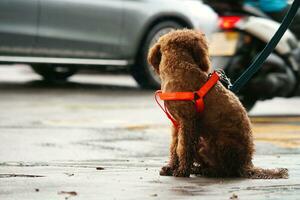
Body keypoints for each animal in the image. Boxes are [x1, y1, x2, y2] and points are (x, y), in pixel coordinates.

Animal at [148, 29, 288, 178]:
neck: (179, 66)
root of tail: (247, 164)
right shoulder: (177, 124)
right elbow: (174, 146)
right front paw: (171, 167)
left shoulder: (188, 121)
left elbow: (183, 147)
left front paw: (182, 171)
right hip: (201, 141)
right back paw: (198, 169)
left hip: (216, 143)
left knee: (225, 170)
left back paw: (206, 171)